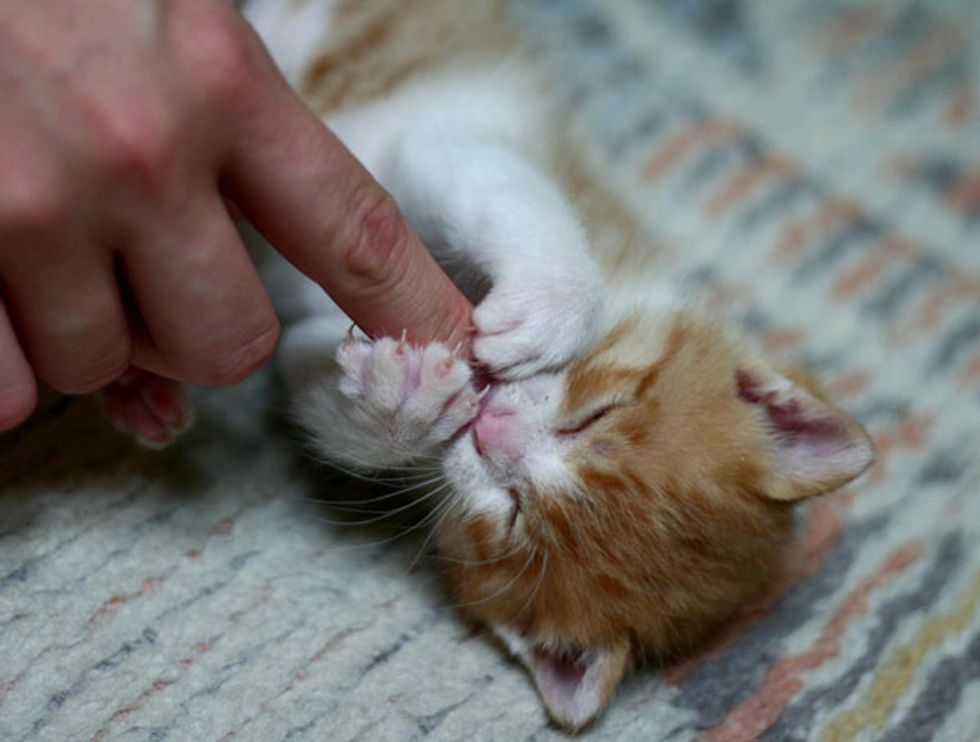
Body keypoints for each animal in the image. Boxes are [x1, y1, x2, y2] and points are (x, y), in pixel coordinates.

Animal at [106, 0, 876, 730]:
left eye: (511, 514)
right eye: (597, 415)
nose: (490, 428)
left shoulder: (309, 350)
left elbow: (320, 397)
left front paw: (400, 404)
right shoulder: (460, 148)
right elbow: (496, 190)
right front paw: (548, 305)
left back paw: (144, 390)